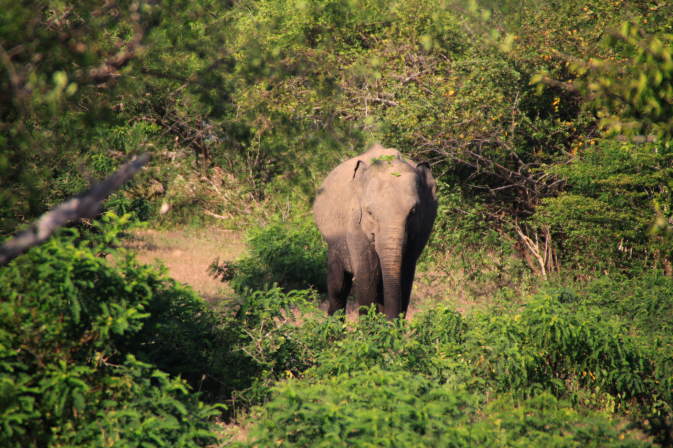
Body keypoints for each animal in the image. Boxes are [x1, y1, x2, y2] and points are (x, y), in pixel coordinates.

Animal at [313, 144, 438, 319]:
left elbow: (405, 276)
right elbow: (367, 276)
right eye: (370, 212)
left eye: (413, 212)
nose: (392, 322)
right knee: (338, 286)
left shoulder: (422, 229)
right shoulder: (355, 225)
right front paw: (369, 326)